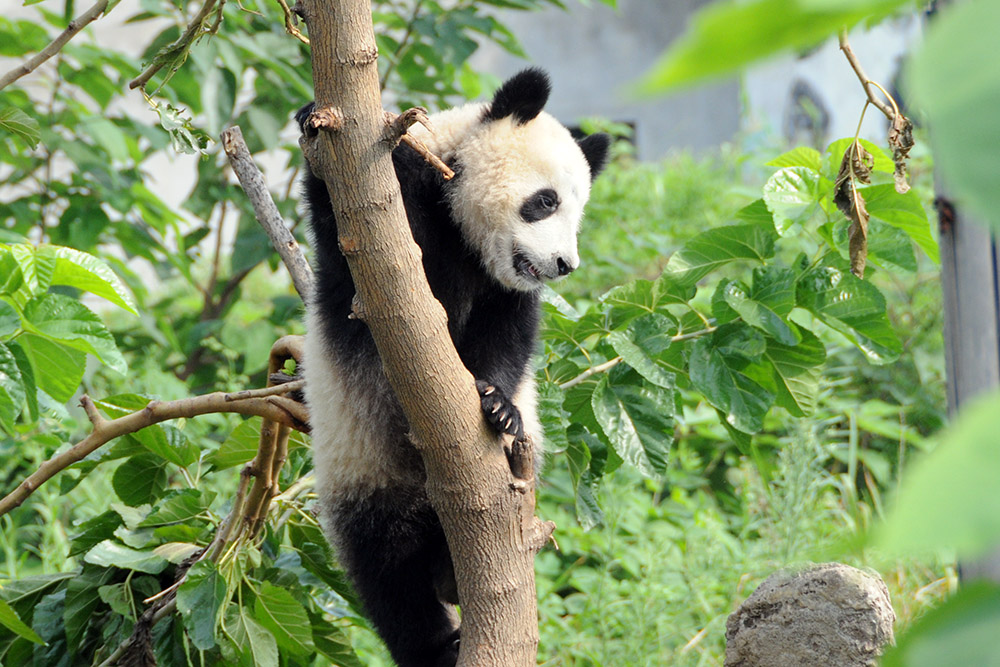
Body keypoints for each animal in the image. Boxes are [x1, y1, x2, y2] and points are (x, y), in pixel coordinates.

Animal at [297, 68, 609, 667]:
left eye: (579, 213)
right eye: (545, 201)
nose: (564, 265)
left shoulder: (506, 287)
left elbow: (509, 339)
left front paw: (500, 408)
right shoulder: (400, 202)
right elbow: (344, 253)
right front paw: (310, 124)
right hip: (365, 468)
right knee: (389, 572)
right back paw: (437, 642)